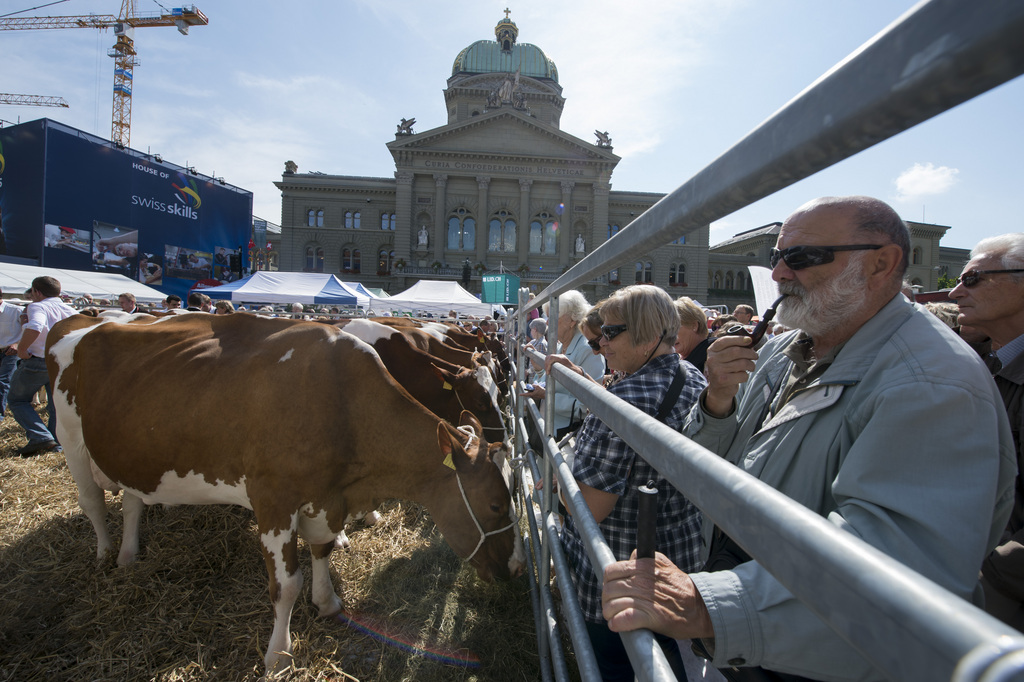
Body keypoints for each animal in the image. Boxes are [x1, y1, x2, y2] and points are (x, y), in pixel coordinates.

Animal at [44, 311, 524, 667]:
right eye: (496, 505)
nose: (518, 567)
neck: (342, 402)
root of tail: (89, 324)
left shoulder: (327, 497)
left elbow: (322, 550)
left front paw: (327, 602)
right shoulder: (273, 499)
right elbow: (286, 585)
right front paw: (279, 653)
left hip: (131, 449)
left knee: (131, 501)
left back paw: (128, 553)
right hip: (71, 436)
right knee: (91, 500)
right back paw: (105, 552)